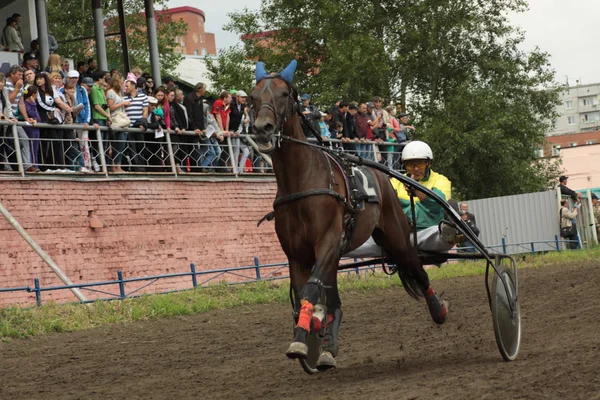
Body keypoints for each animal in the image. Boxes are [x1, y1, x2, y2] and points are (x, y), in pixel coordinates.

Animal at [251, 60, 448, 372]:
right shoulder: (297, 254)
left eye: (284, 94)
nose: (262, 128)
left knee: (417, 269)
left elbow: (311, 290)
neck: (301, 181)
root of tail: (380, 172)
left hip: (396, 237)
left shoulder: (328, 241)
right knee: (335, 302)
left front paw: (306, 337)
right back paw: (327, 347)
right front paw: (308, 335)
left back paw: (439, 310)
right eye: (252, 97)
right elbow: (306, 294)